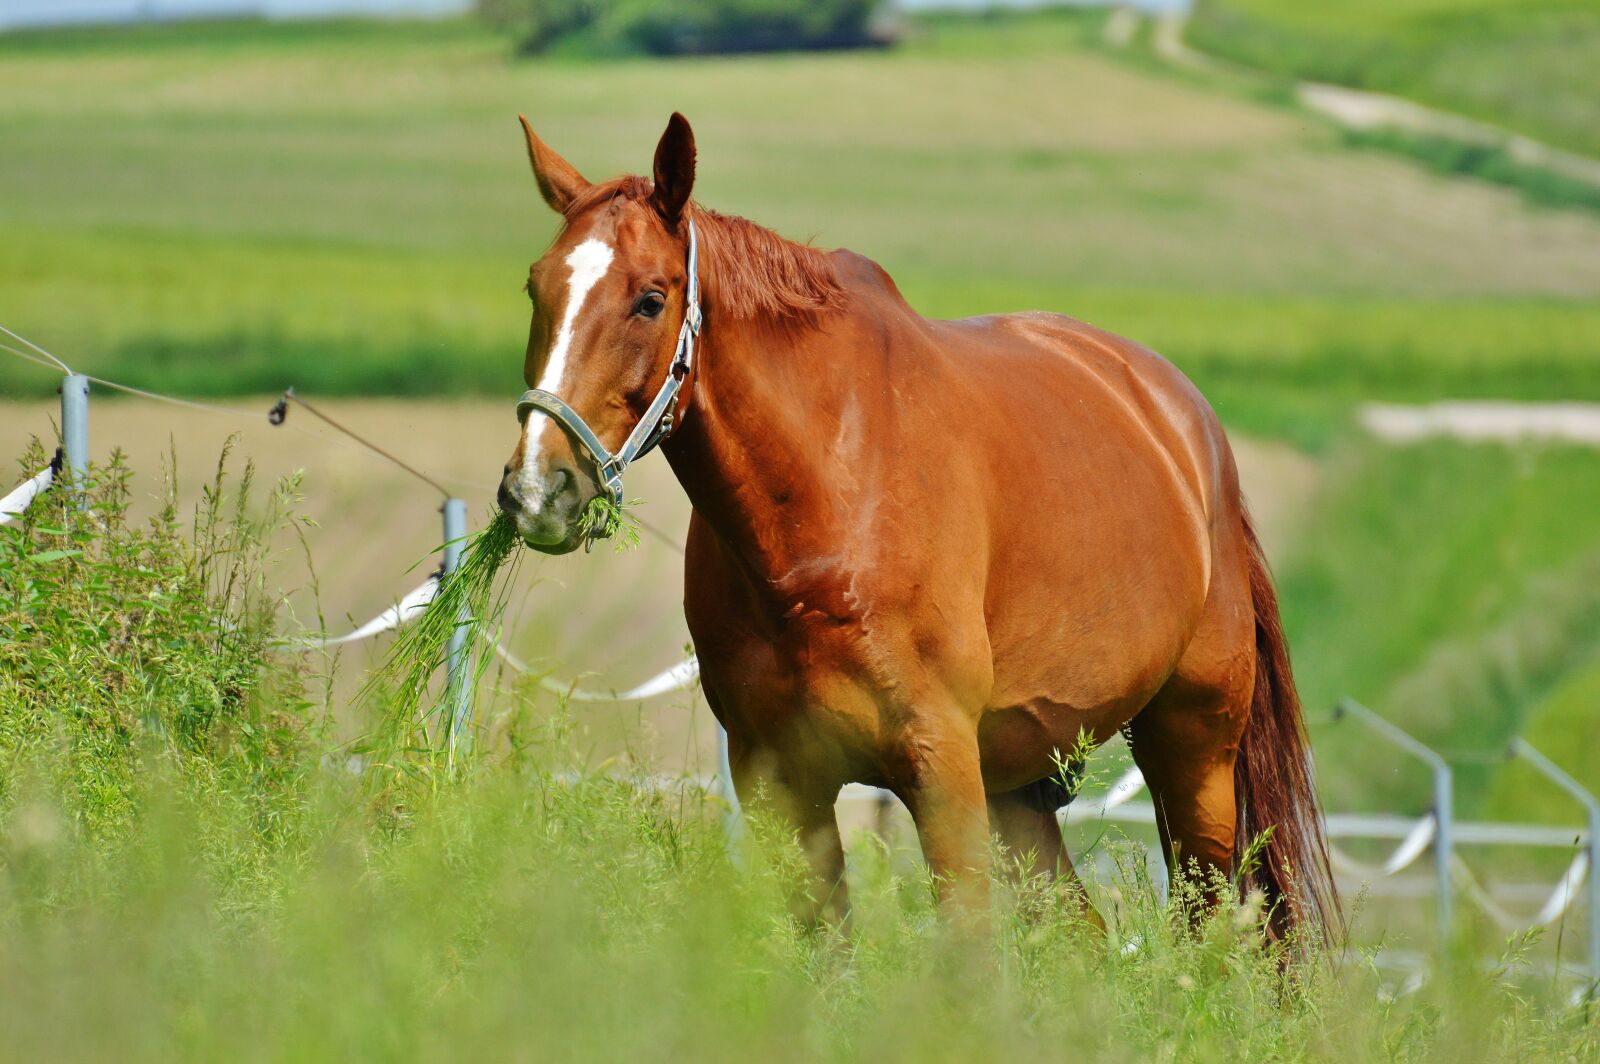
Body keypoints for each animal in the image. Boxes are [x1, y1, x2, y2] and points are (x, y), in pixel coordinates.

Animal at [498, 112, 1337, 939]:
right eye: (535, 287)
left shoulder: (941, 771)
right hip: (1022, 787)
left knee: (1208, 931)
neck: (825, 508)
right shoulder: (780, 787)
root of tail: (1186, 422)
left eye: (649, 298)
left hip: (1194, 755)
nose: (537, 488)